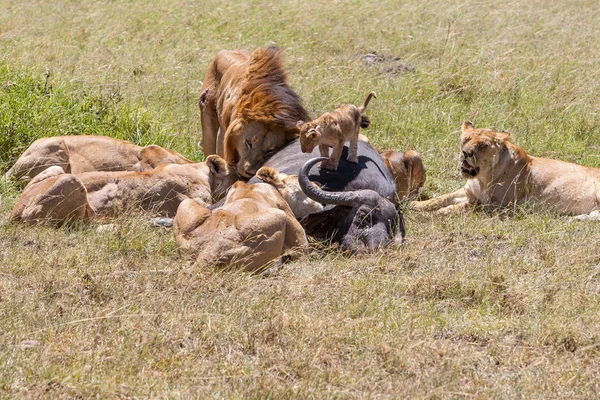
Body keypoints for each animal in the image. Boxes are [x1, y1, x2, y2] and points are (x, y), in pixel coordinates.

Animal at [410, 121, 600, 217]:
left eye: (482, 145)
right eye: (466, 140)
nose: (465, 153)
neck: (482, 177)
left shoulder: (503, 204)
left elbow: (468, 207)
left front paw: (442, 212)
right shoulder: (469, 191)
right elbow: (441, 198)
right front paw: (416, 204)